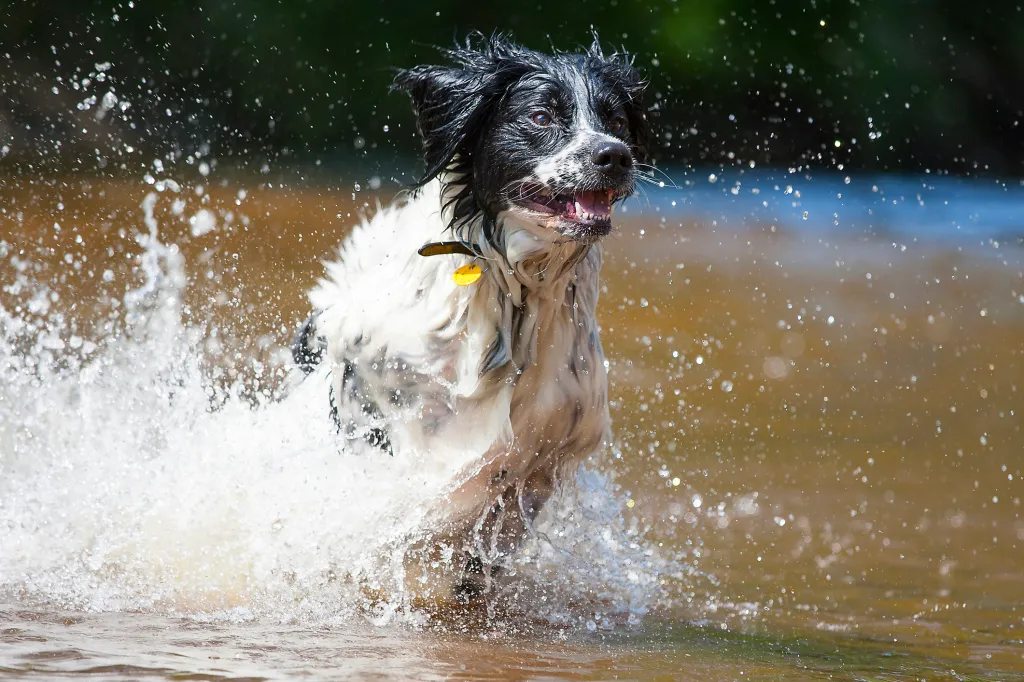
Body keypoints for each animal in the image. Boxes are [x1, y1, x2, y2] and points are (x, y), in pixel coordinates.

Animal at [292, 33, 651, 593]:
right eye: (542, 116)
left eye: (615, 121)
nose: (613, 156)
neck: (517, 290)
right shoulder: (377, 386)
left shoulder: (546, 453)